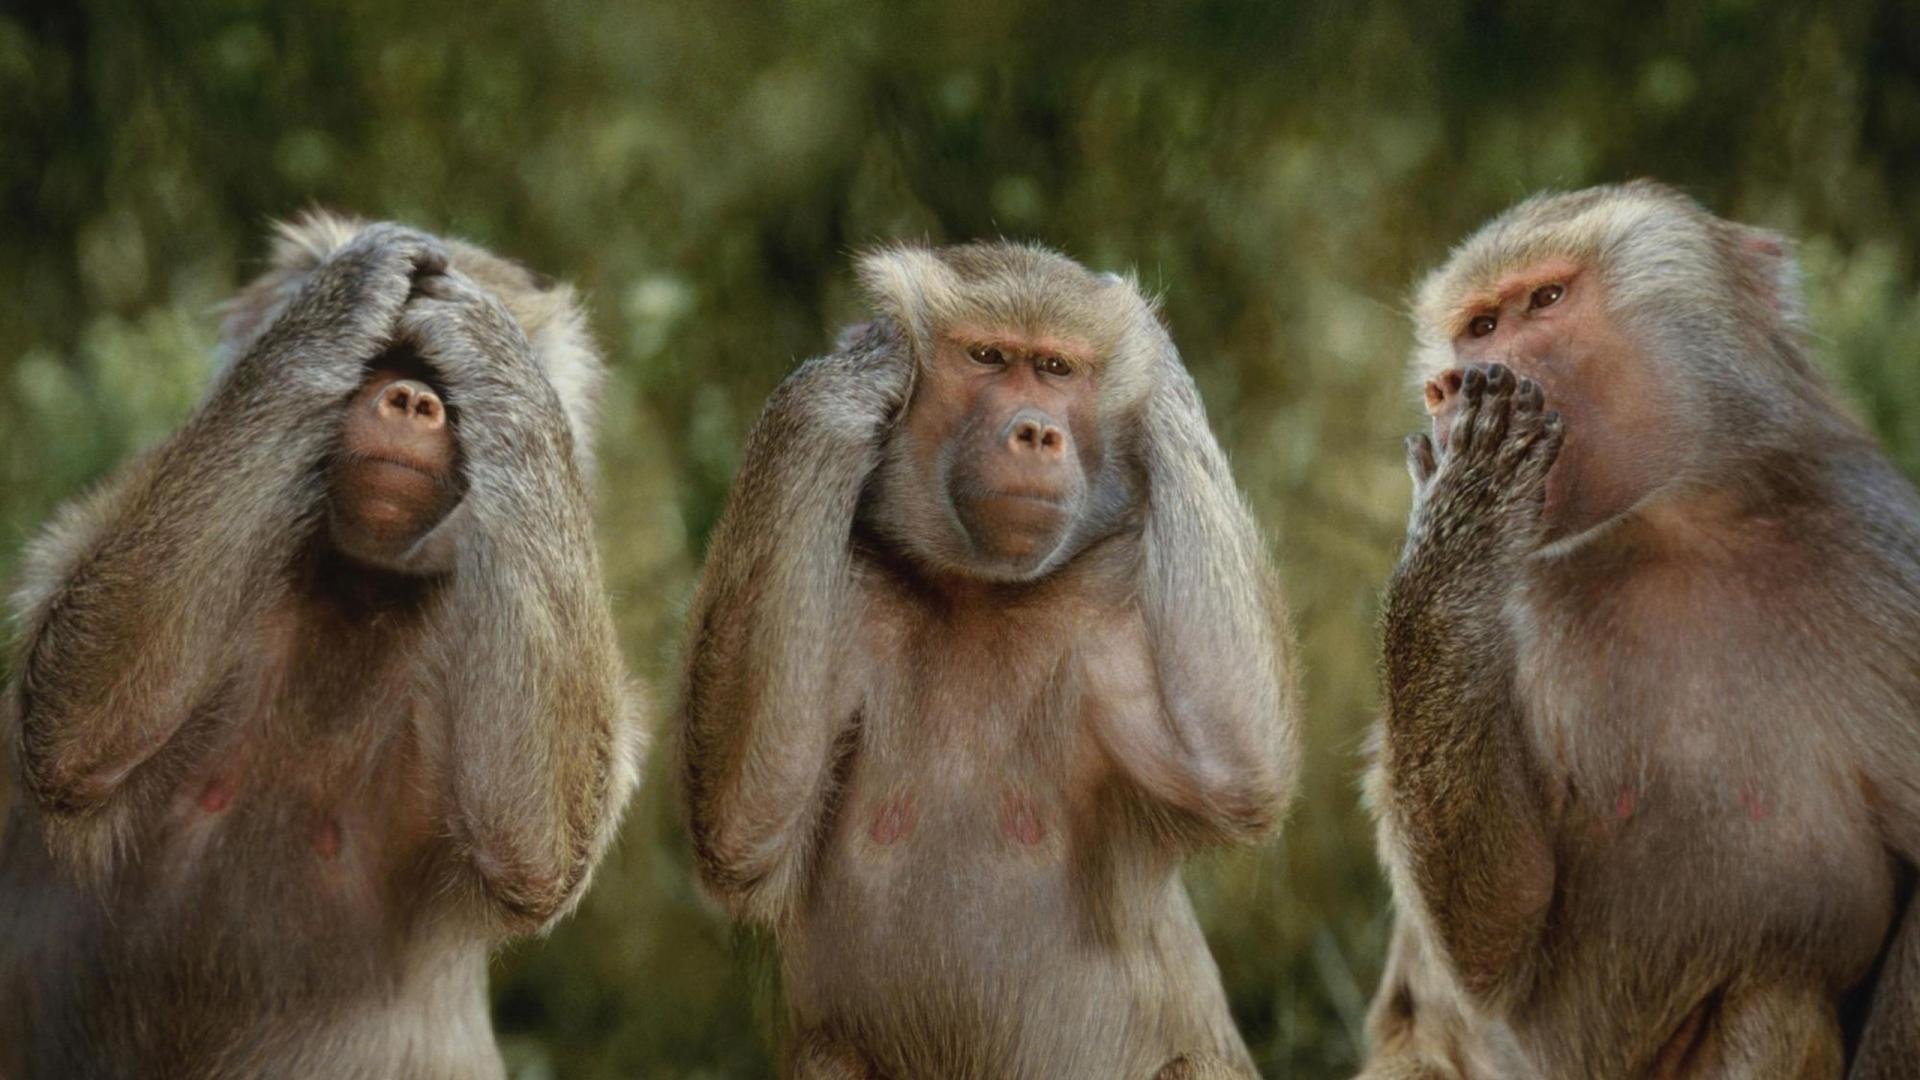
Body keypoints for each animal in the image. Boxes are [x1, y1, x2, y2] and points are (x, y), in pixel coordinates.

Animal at [0, 214, 643, 1079]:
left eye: (442, 378)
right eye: (382, 359)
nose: (412, 398)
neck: (356, 586)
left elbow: (535, 848)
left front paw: (487, 340)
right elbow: (72, 726)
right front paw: (347, 291)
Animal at [678, 242, 1299, 1079]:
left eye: (1057, 368)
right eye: (988, 357)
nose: (1036, 431)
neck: (976, 594)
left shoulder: (1110, 606)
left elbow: (1237, 768)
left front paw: (1161, 367)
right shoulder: (850, 591)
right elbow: (744, 827)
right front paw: (853, 373)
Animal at [1357, 180, 1920, 1078]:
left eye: (1544, 302)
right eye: (1478, 325)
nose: (1447, 386)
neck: (1672, 528)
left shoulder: (1877, 550)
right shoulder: (1517, 603)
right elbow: (1496, 942)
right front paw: (1462, 512)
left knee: (1778, 999)